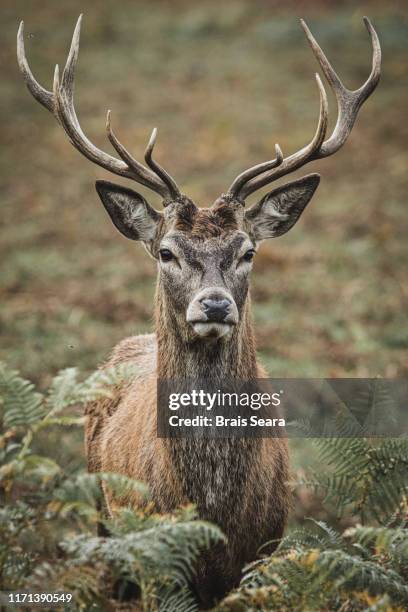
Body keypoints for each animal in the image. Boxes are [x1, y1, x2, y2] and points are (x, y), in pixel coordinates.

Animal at [17, 14, 380, 608]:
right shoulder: (153, 558)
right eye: (167, 251)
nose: (214, 303)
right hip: (101, 511)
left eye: (248, 250)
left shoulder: (260, 551)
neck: (211, 508)